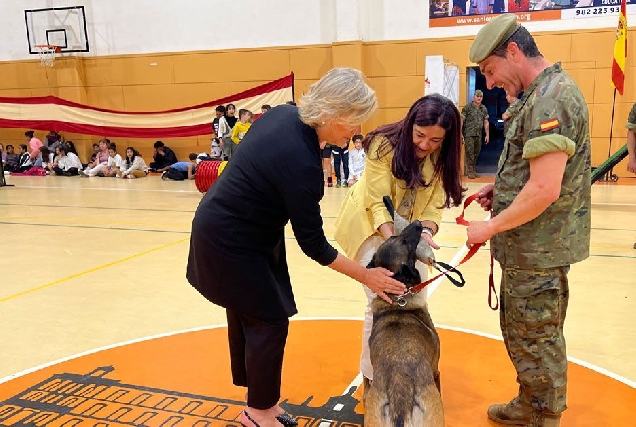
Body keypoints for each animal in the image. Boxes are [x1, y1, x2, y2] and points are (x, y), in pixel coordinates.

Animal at [366, 219, 444, 426]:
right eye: (404, 242)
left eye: (395, 236)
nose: (417, 222)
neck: (397, 299)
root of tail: (400, 386)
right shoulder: (436, 370)